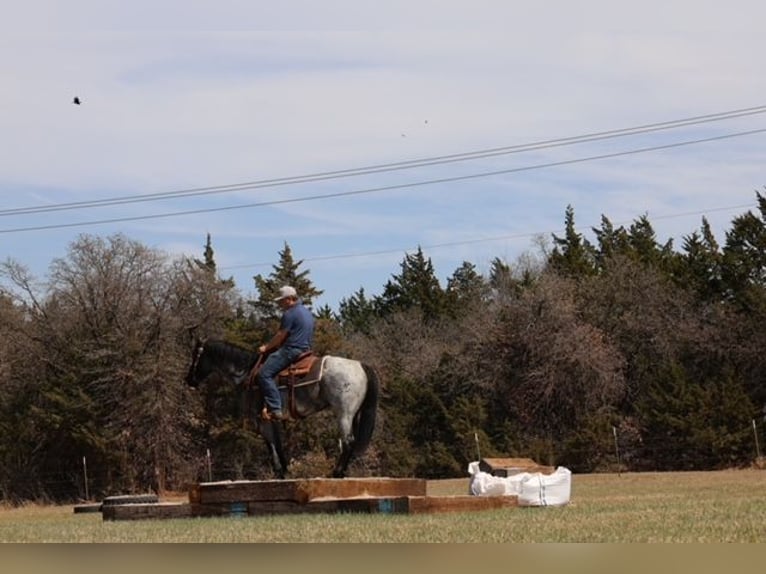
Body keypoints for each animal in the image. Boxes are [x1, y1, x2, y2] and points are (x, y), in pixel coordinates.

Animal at [185, 339, 380, 479]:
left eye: (196, 356)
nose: (189, 380)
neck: (248, 373)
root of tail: (360, 365)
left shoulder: (262, 419)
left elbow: (272, 444)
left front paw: (280, 471)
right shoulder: (270, 418)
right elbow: (277, 443)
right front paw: (284, 471)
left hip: (344, 414)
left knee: (348, 441)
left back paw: (337, 473)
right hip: (354, 415)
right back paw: (343, 472)